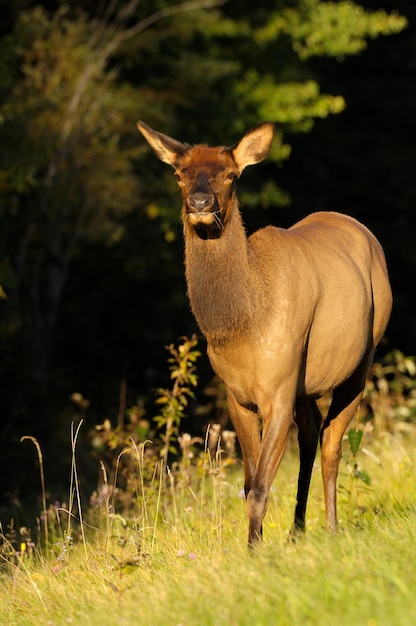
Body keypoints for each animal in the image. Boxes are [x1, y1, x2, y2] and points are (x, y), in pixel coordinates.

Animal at [137, 119, 394, 544]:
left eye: (230, 175)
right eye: (179, 174)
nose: (200, 203)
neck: (243, 330)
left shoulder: (278, 390)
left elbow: (259, 488)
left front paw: (254, 551)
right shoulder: (237, 396)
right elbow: (247, 484)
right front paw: (256, 545)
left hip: (363, 358)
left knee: (332, 442)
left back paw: (331, 526)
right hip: (306, 383)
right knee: (311, 434)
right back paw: (297, 529)